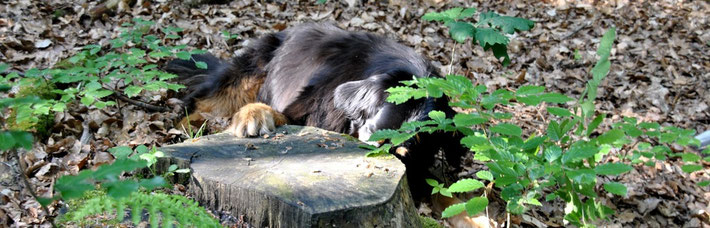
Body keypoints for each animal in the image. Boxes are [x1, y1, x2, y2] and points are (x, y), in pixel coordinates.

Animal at [168, 23, 490, 228]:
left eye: (402, 156)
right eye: (372, 143)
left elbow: (444, 191)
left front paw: (473, 217)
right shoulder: (308, 109)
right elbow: (278, 113)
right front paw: (254, 115)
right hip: (250, 69)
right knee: (202, 101)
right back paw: (187, 127)